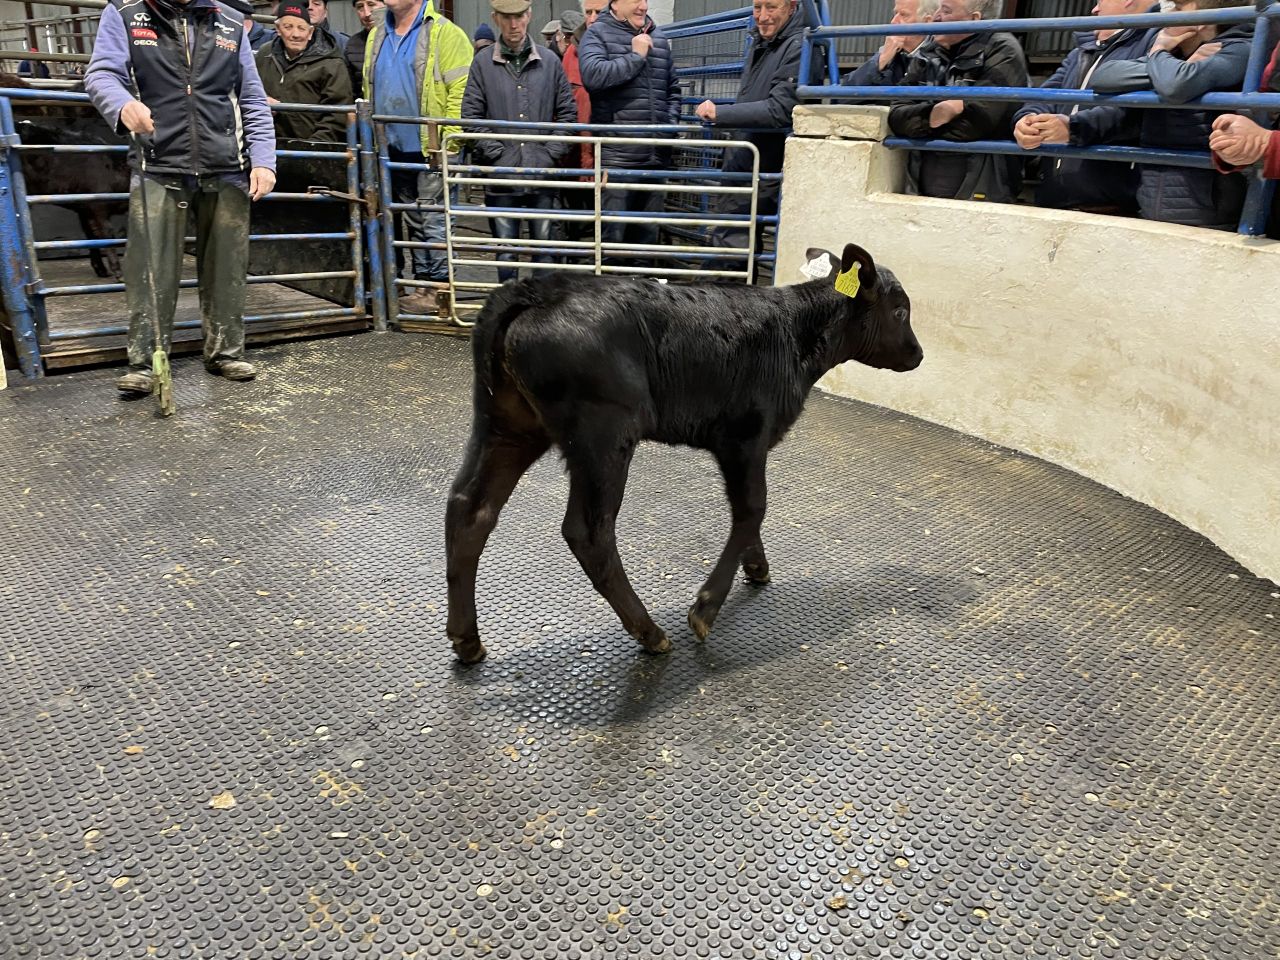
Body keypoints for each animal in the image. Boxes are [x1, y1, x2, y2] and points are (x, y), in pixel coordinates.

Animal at [444, 243, 923, 664]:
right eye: (901, 310)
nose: (917, 354)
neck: (795, 334)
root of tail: (540, 288)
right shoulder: (744, 434)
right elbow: (753, 508)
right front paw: (706, 608)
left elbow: (747, 511)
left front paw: (757, 566)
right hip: (602, 433)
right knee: (588, 531)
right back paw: (650, 632)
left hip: (507, 424)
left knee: (470, 508)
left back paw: (467, 640)